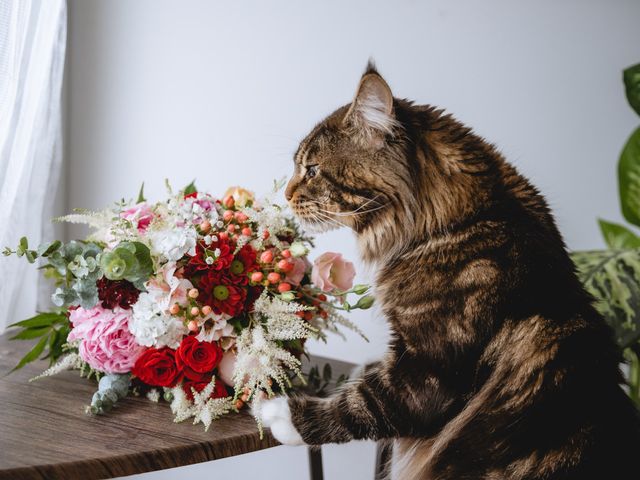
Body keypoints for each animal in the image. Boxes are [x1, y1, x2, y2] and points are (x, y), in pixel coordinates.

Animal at [255, 62, 640, 478]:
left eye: (311, 170)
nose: (286, 194)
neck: (461, 225)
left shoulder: (428, 368)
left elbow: (359, 405)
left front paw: (278, 413)